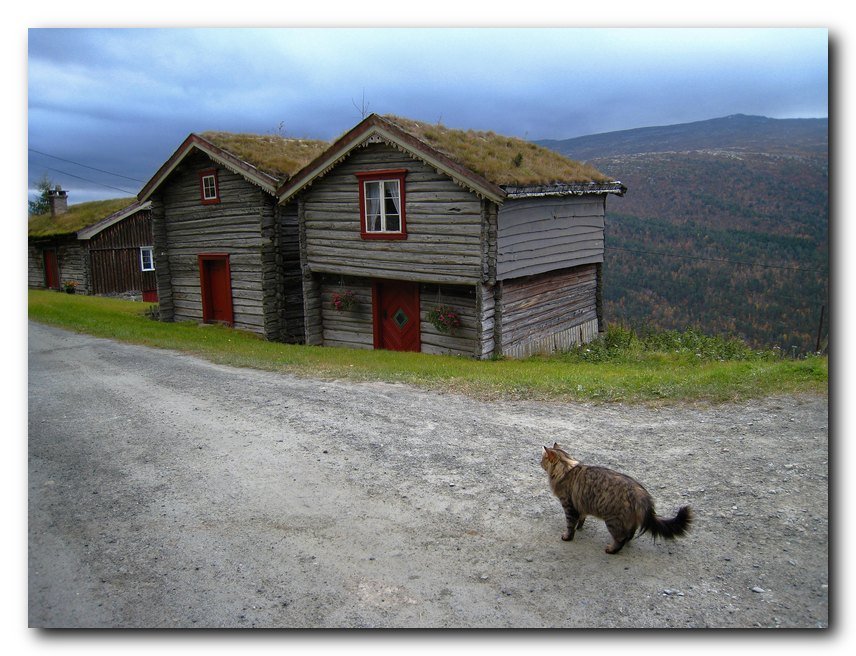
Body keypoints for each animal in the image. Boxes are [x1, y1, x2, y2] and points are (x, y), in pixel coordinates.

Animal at [544, 444, 692, 556]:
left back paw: (611, 549)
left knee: (620, 538)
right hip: (628, 520)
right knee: (630, 534)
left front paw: (567, 536)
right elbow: (581, 518)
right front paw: (579, 527)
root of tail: (641, 492)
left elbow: (570, 525)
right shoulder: (580, 506)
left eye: (543, 458)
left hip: (613, 520)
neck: (566, 467)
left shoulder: (568, 505)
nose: (540, 462)